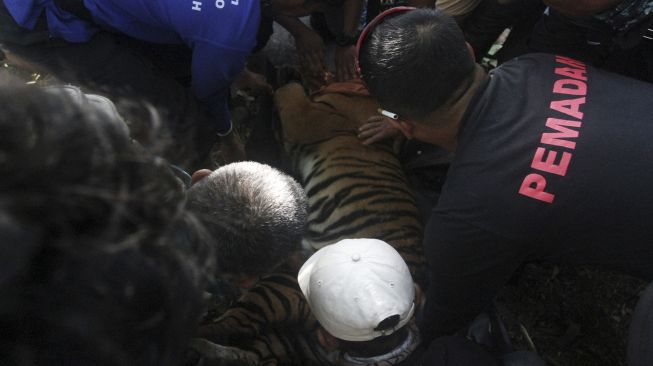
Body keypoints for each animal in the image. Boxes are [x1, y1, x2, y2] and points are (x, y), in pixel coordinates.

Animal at [194, 81, 428, 366]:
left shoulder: (310, 117)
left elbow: (290, 90)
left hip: (282, 286)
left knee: (235, 325)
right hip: (281, 335)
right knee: (244, 347)